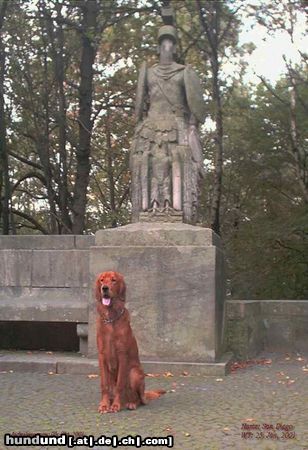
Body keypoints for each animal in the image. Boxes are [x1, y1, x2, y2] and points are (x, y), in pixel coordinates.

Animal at [95, 268, 165, 414]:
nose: (104, 288)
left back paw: (131, 403)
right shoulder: (102, 355)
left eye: (113, 280)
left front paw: (115, 405)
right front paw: (104, 405)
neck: (111, 319)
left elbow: (120, 384)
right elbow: (104, 384)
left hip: (134, 373)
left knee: (139, 399)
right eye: (102, 280)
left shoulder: (122, 355)